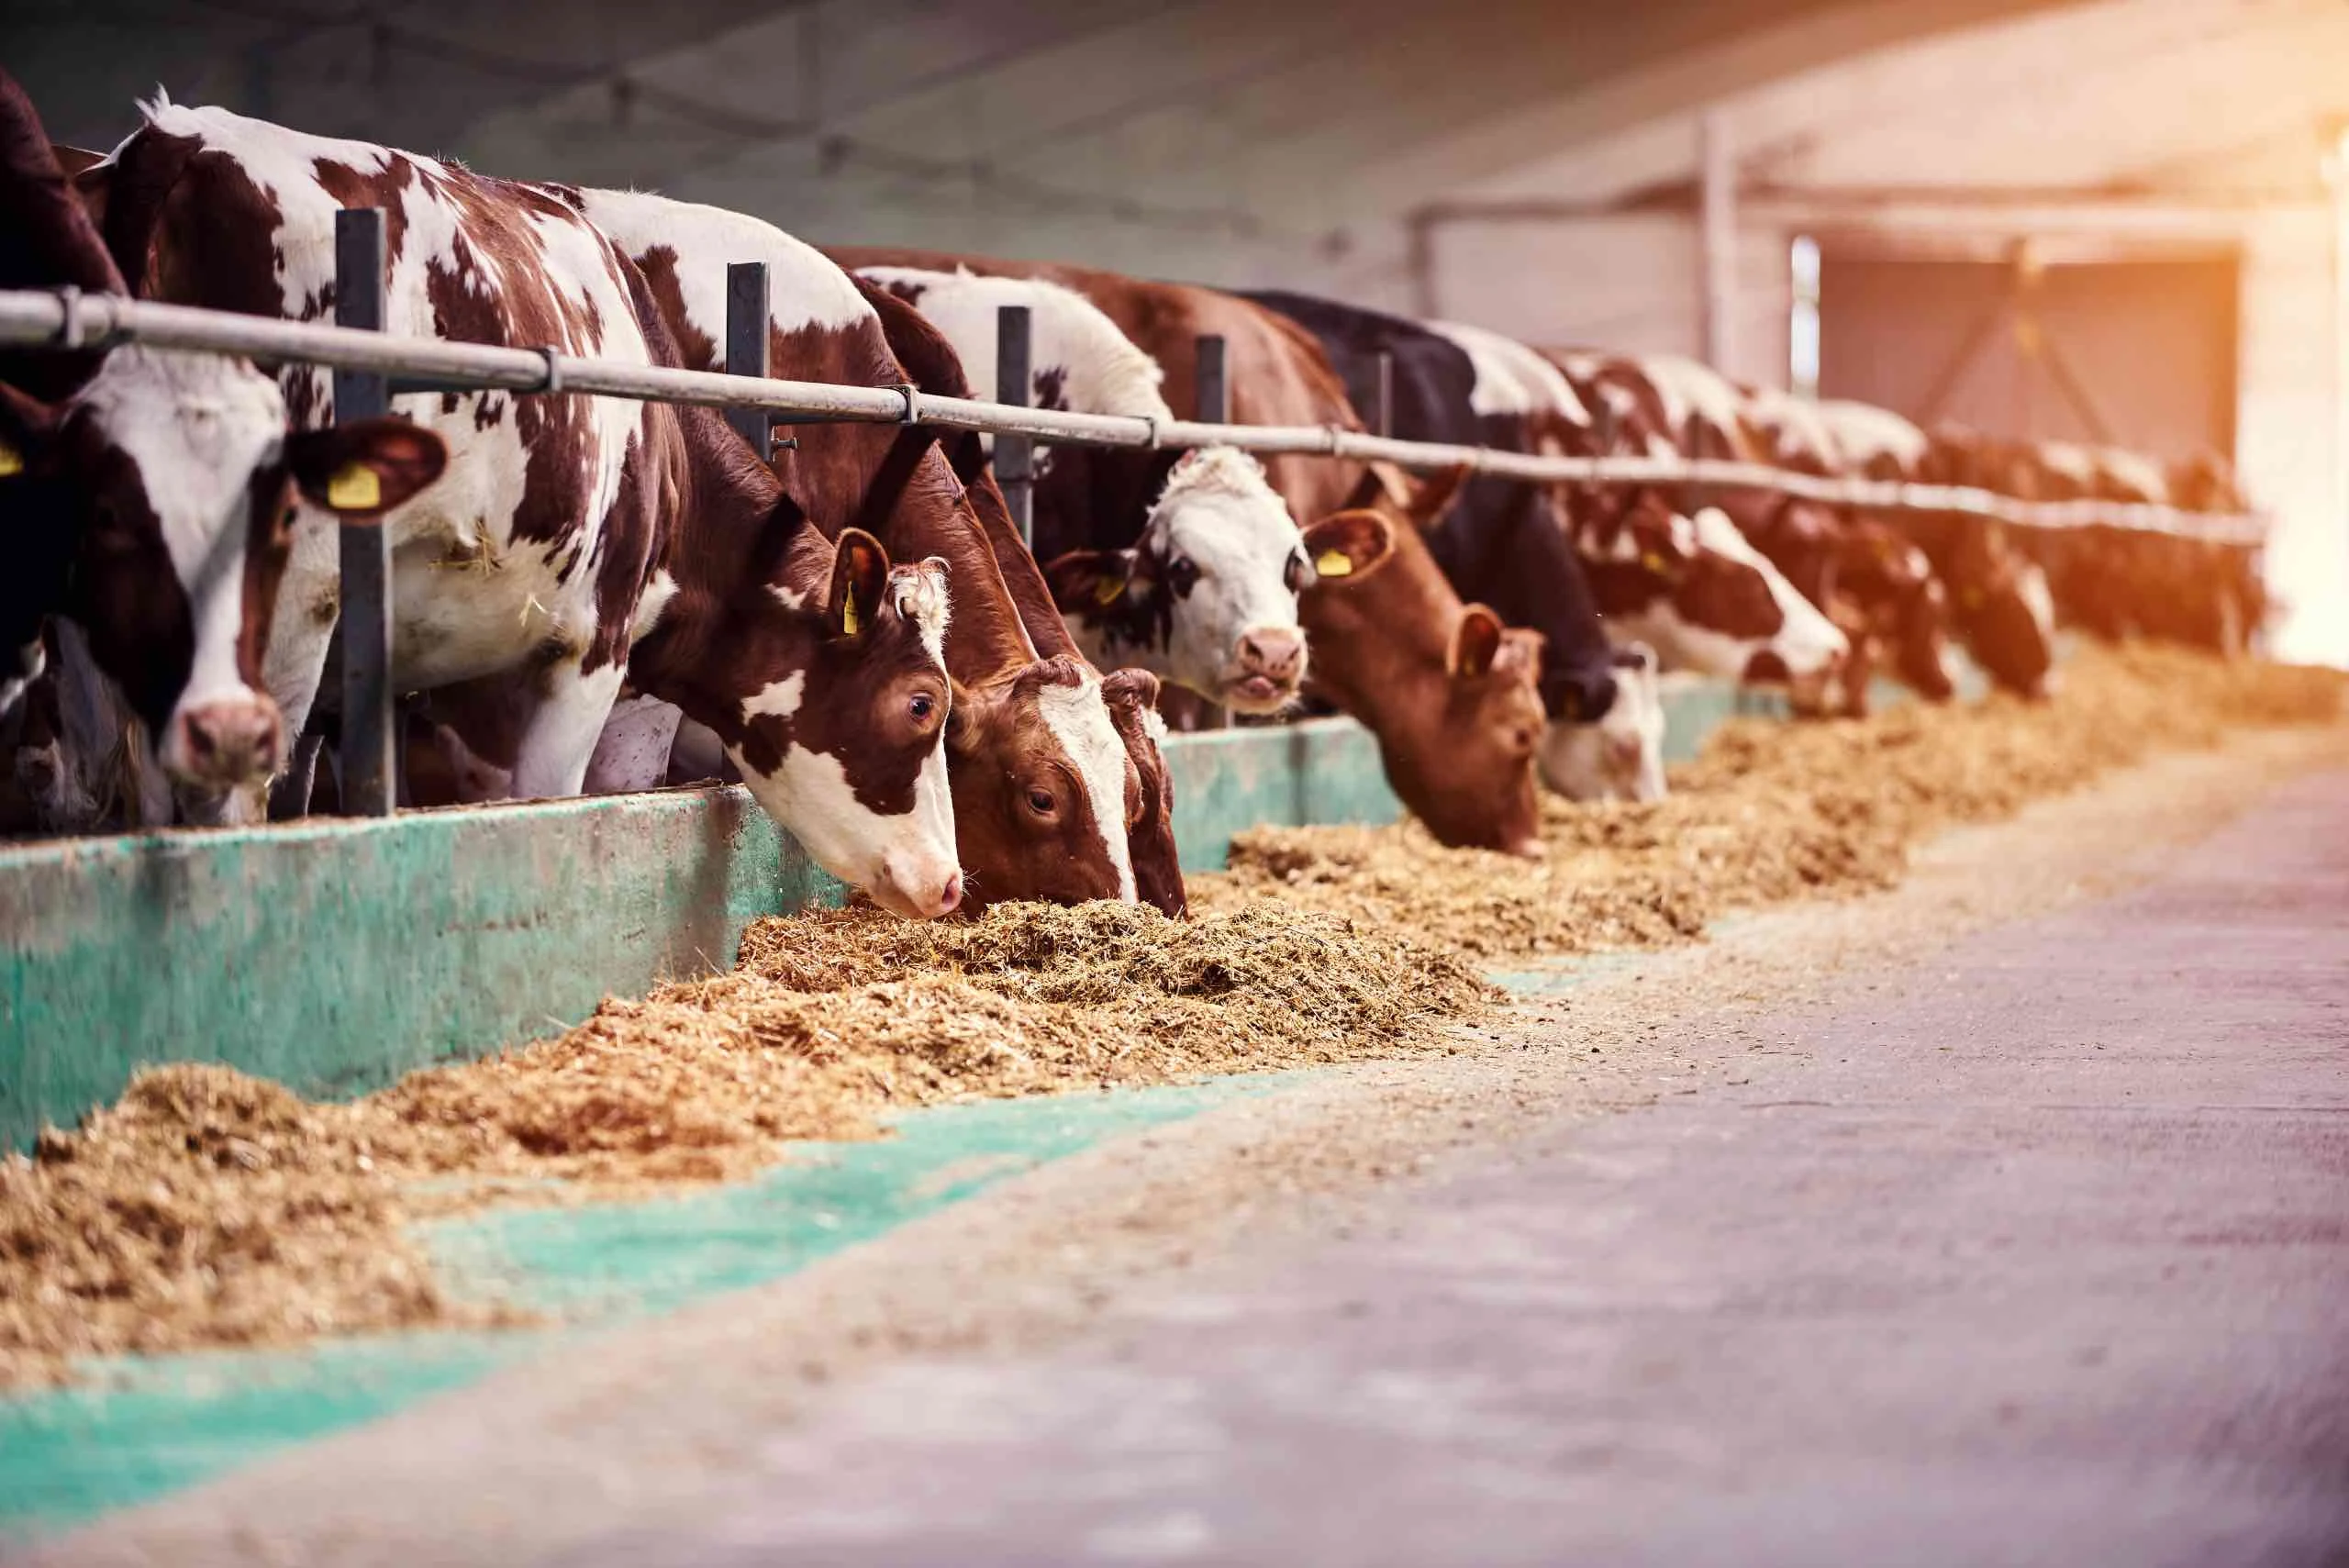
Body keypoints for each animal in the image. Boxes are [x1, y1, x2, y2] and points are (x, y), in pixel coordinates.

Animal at [80, 101, 963, 906]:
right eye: (923, 703)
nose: (952, 883)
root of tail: (180, 138)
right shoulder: (588, 651)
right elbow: (551, 810)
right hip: (291, 599)